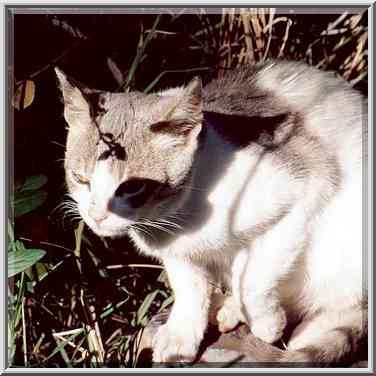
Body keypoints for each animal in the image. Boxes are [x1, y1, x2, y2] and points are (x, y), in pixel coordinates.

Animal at [55, 60, 368, 366]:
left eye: (133, 186)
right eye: (80, 178)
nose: (97, 215)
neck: (179, 216)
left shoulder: (306, 185)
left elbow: (252, 280)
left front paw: (265, 322)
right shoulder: (178, 254)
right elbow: (189, 290)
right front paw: (182, 337)